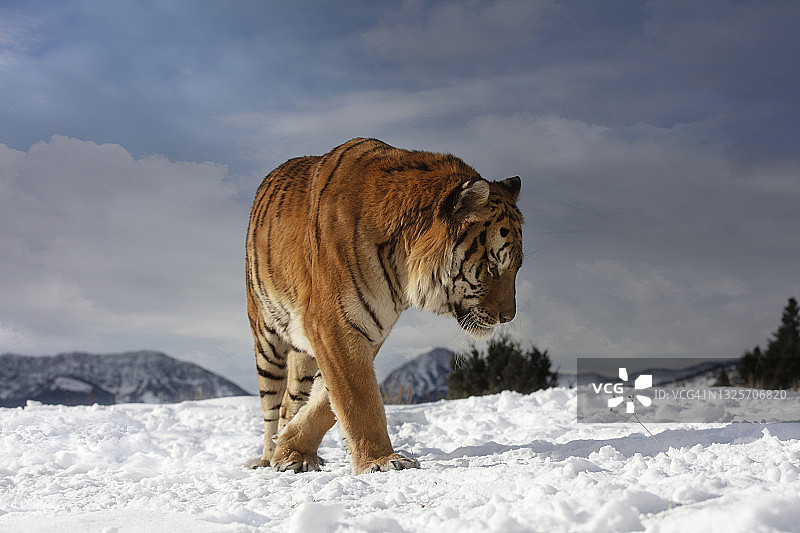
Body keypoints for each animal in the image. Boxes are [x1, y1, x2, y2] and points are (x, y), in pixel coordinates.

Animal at [245, 138, 523, 475]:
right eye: (494, 267)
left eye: (517, 267)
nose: (508, 316)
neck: (402, 261)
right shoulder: (334, 324)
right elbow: (358, 401)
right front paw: (381, 461)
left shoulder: (368, 329)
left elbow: (326, 401)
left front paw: (292, 448)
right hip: (266, 339)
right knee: (271, 406)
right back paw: (266, 457)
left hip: (301, 354)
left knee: (291, 399)